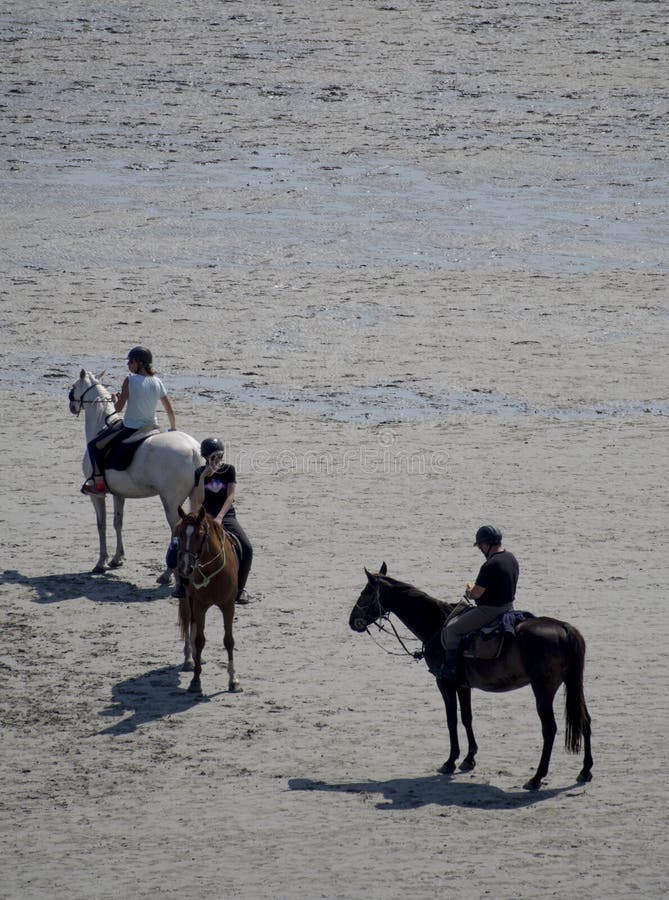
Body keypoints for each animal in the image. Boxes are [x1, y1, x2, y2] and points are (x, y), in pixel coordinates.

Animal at [70, 370, 204, 580]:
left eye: (74, 386)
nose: (72, 405)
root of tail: (193, 450)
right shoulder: (118, 494)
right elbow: (117, 522)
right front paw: (117, 558)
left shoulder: (97, 496)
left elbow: (102, 525)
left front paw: (101, 562)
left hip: (171, 502)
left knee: (177, 529)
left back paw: (168, 574)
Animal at [175, 506, 240, 696]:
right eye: (181, 534)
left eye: (199, 535)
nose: (185, 568)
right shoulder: (200, 605)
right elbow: (199, 640)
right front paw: (196, 681)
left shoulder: (228, 605)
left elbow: (229, 640)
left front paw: (233, 680)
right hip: (187, 599)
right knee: (188, 622)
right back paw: (190, 659)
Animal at [348, 568, 592, 792]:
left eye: (365, 592)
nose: (352, 621)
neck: (437, 624)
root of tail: (564, 628)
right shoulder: (463, 685)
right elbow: (467, 717)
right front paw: (469, 758)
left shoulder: (445, 682)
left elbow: (451, 720)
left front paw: (450, 761)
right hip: (574, 684)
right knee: (585, 720)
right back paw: (585, 770)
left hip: (543, 689)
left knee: (549, 729)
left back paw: (537, 778)